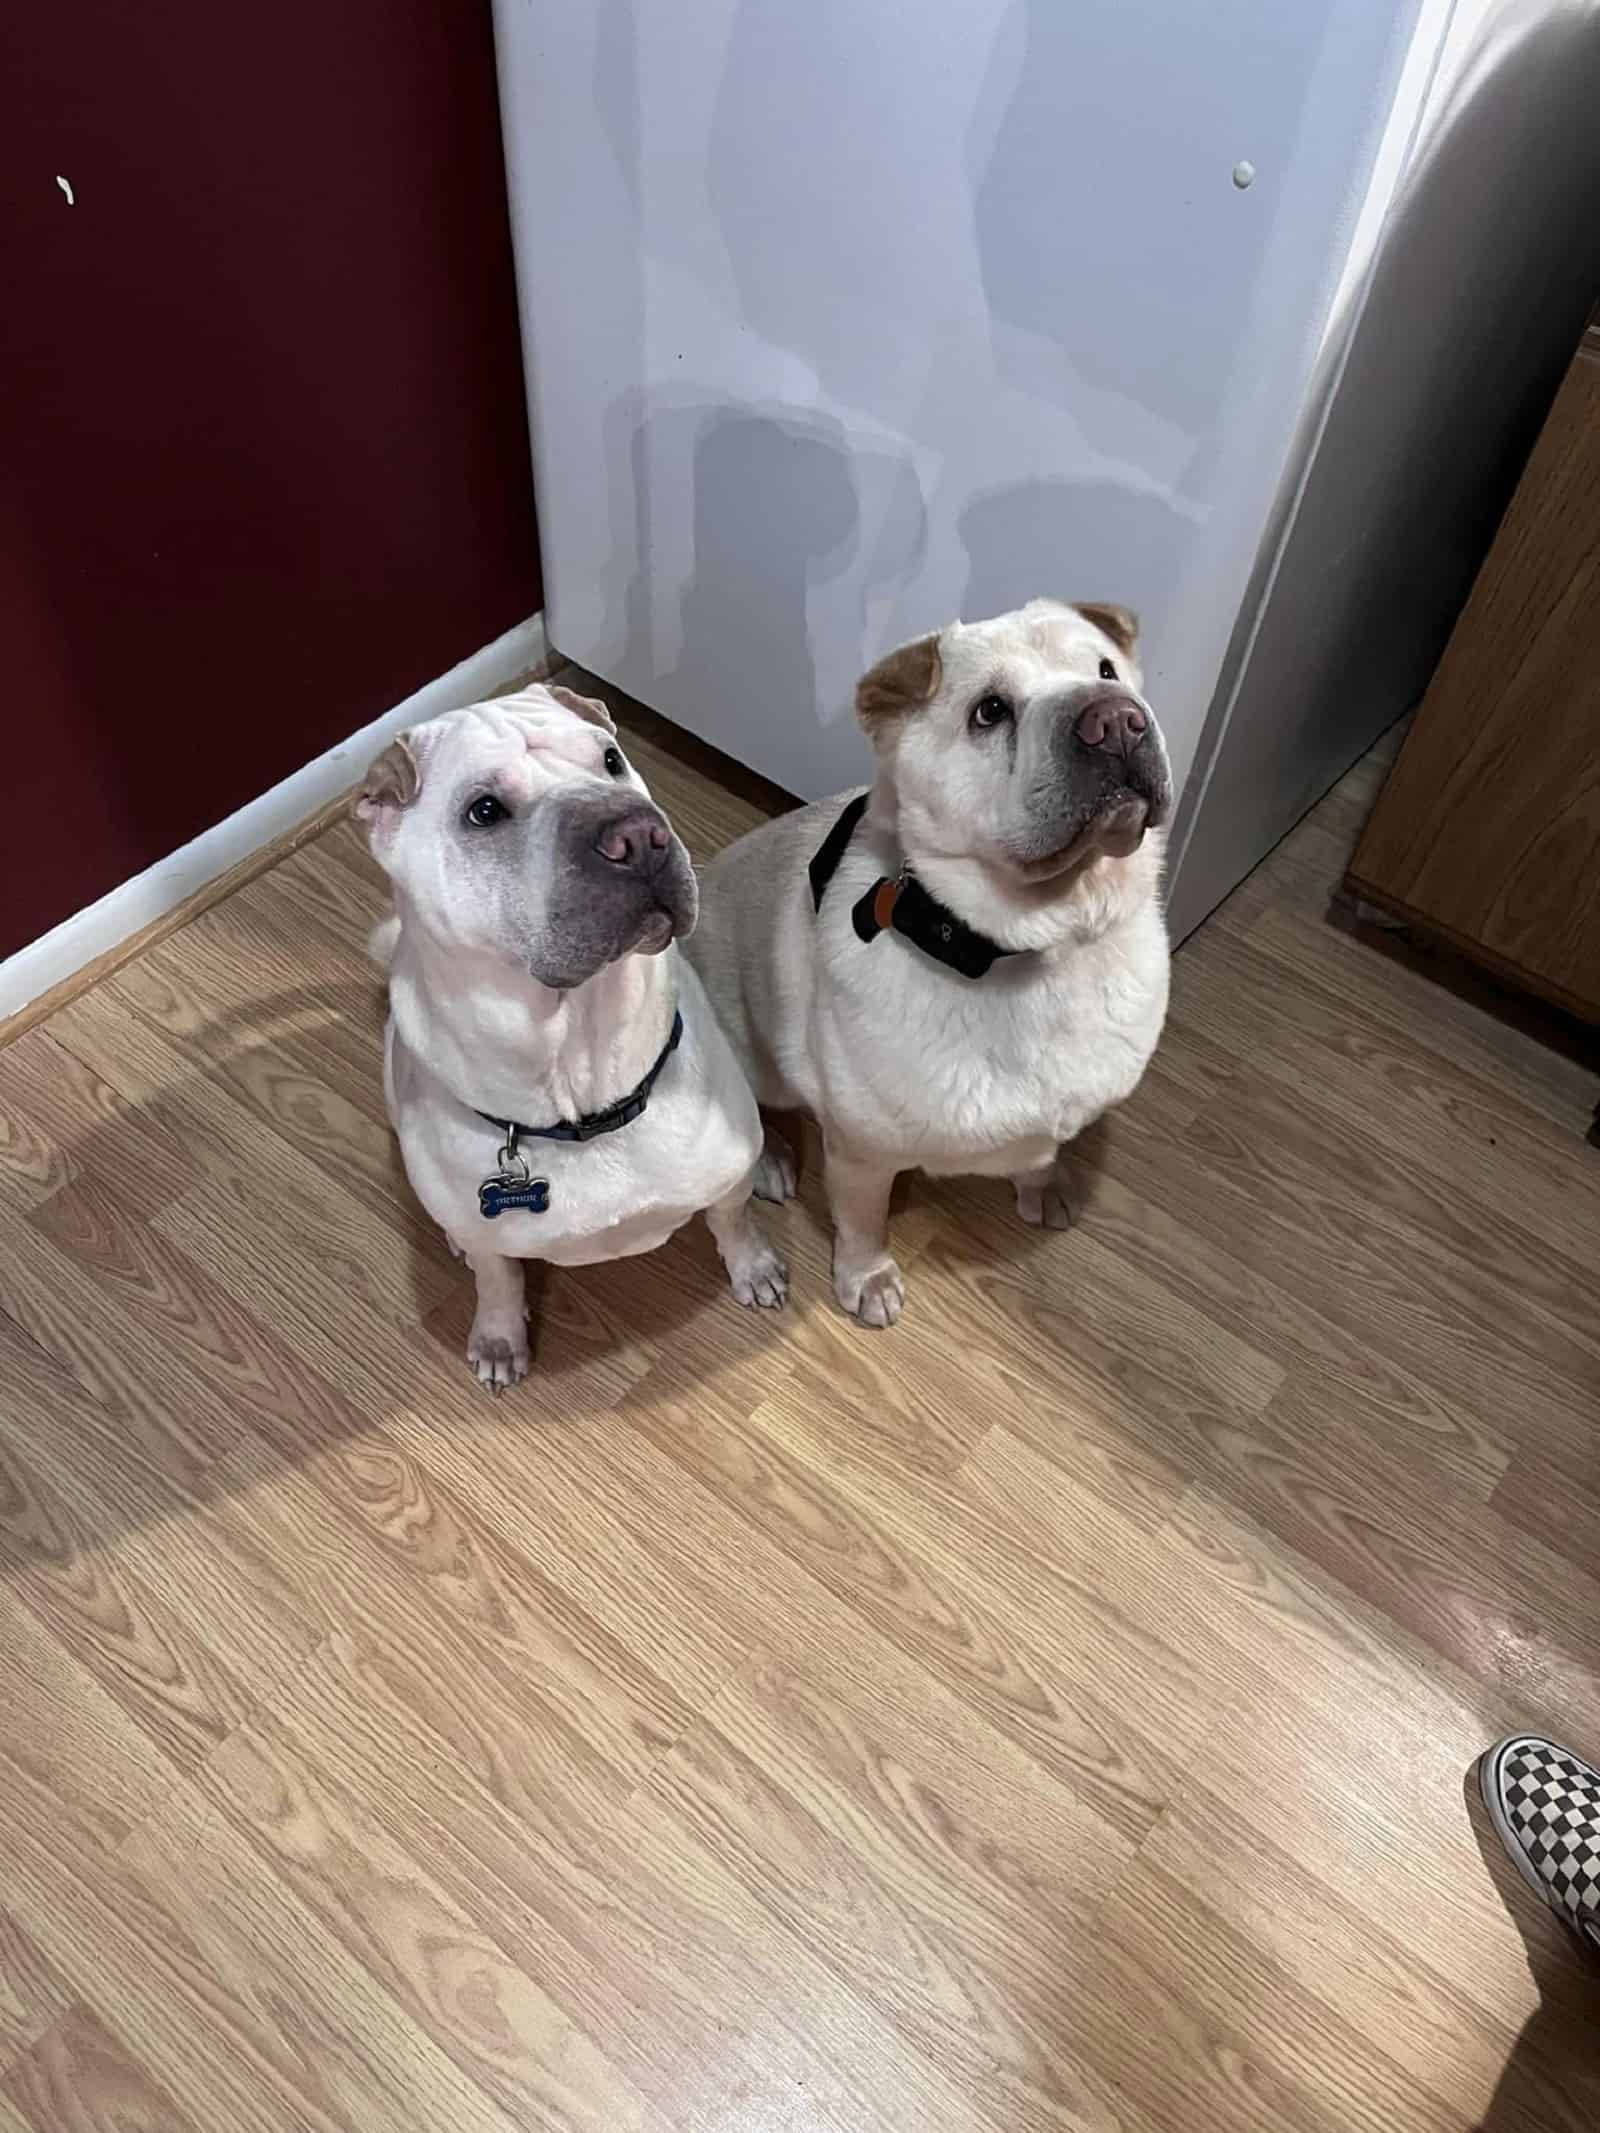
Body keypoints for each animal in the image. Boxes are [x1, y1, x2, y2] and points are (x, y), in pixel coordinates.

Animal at [362, 674, 789, 1390]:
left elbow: (734, 1222)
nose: (639, 836)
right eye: (483, 811)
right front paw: (500, 1337)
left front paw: (754, 1267)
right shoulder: (493, 1244)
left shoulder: (726, 1179)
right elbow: (497, 1280)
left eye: (611, 759)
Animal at [682, 601, 1169, 1322]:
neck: (1044, 942)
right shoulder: (862, 1151)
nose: (1116, 719)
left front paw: (1045, 1182)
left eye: (1107, 670)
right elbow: (862, 1221)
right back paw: (766, 1163)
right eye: (990, 712)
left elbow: (1039, 1153)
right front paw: (866, 1279)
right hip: (747, 1051)